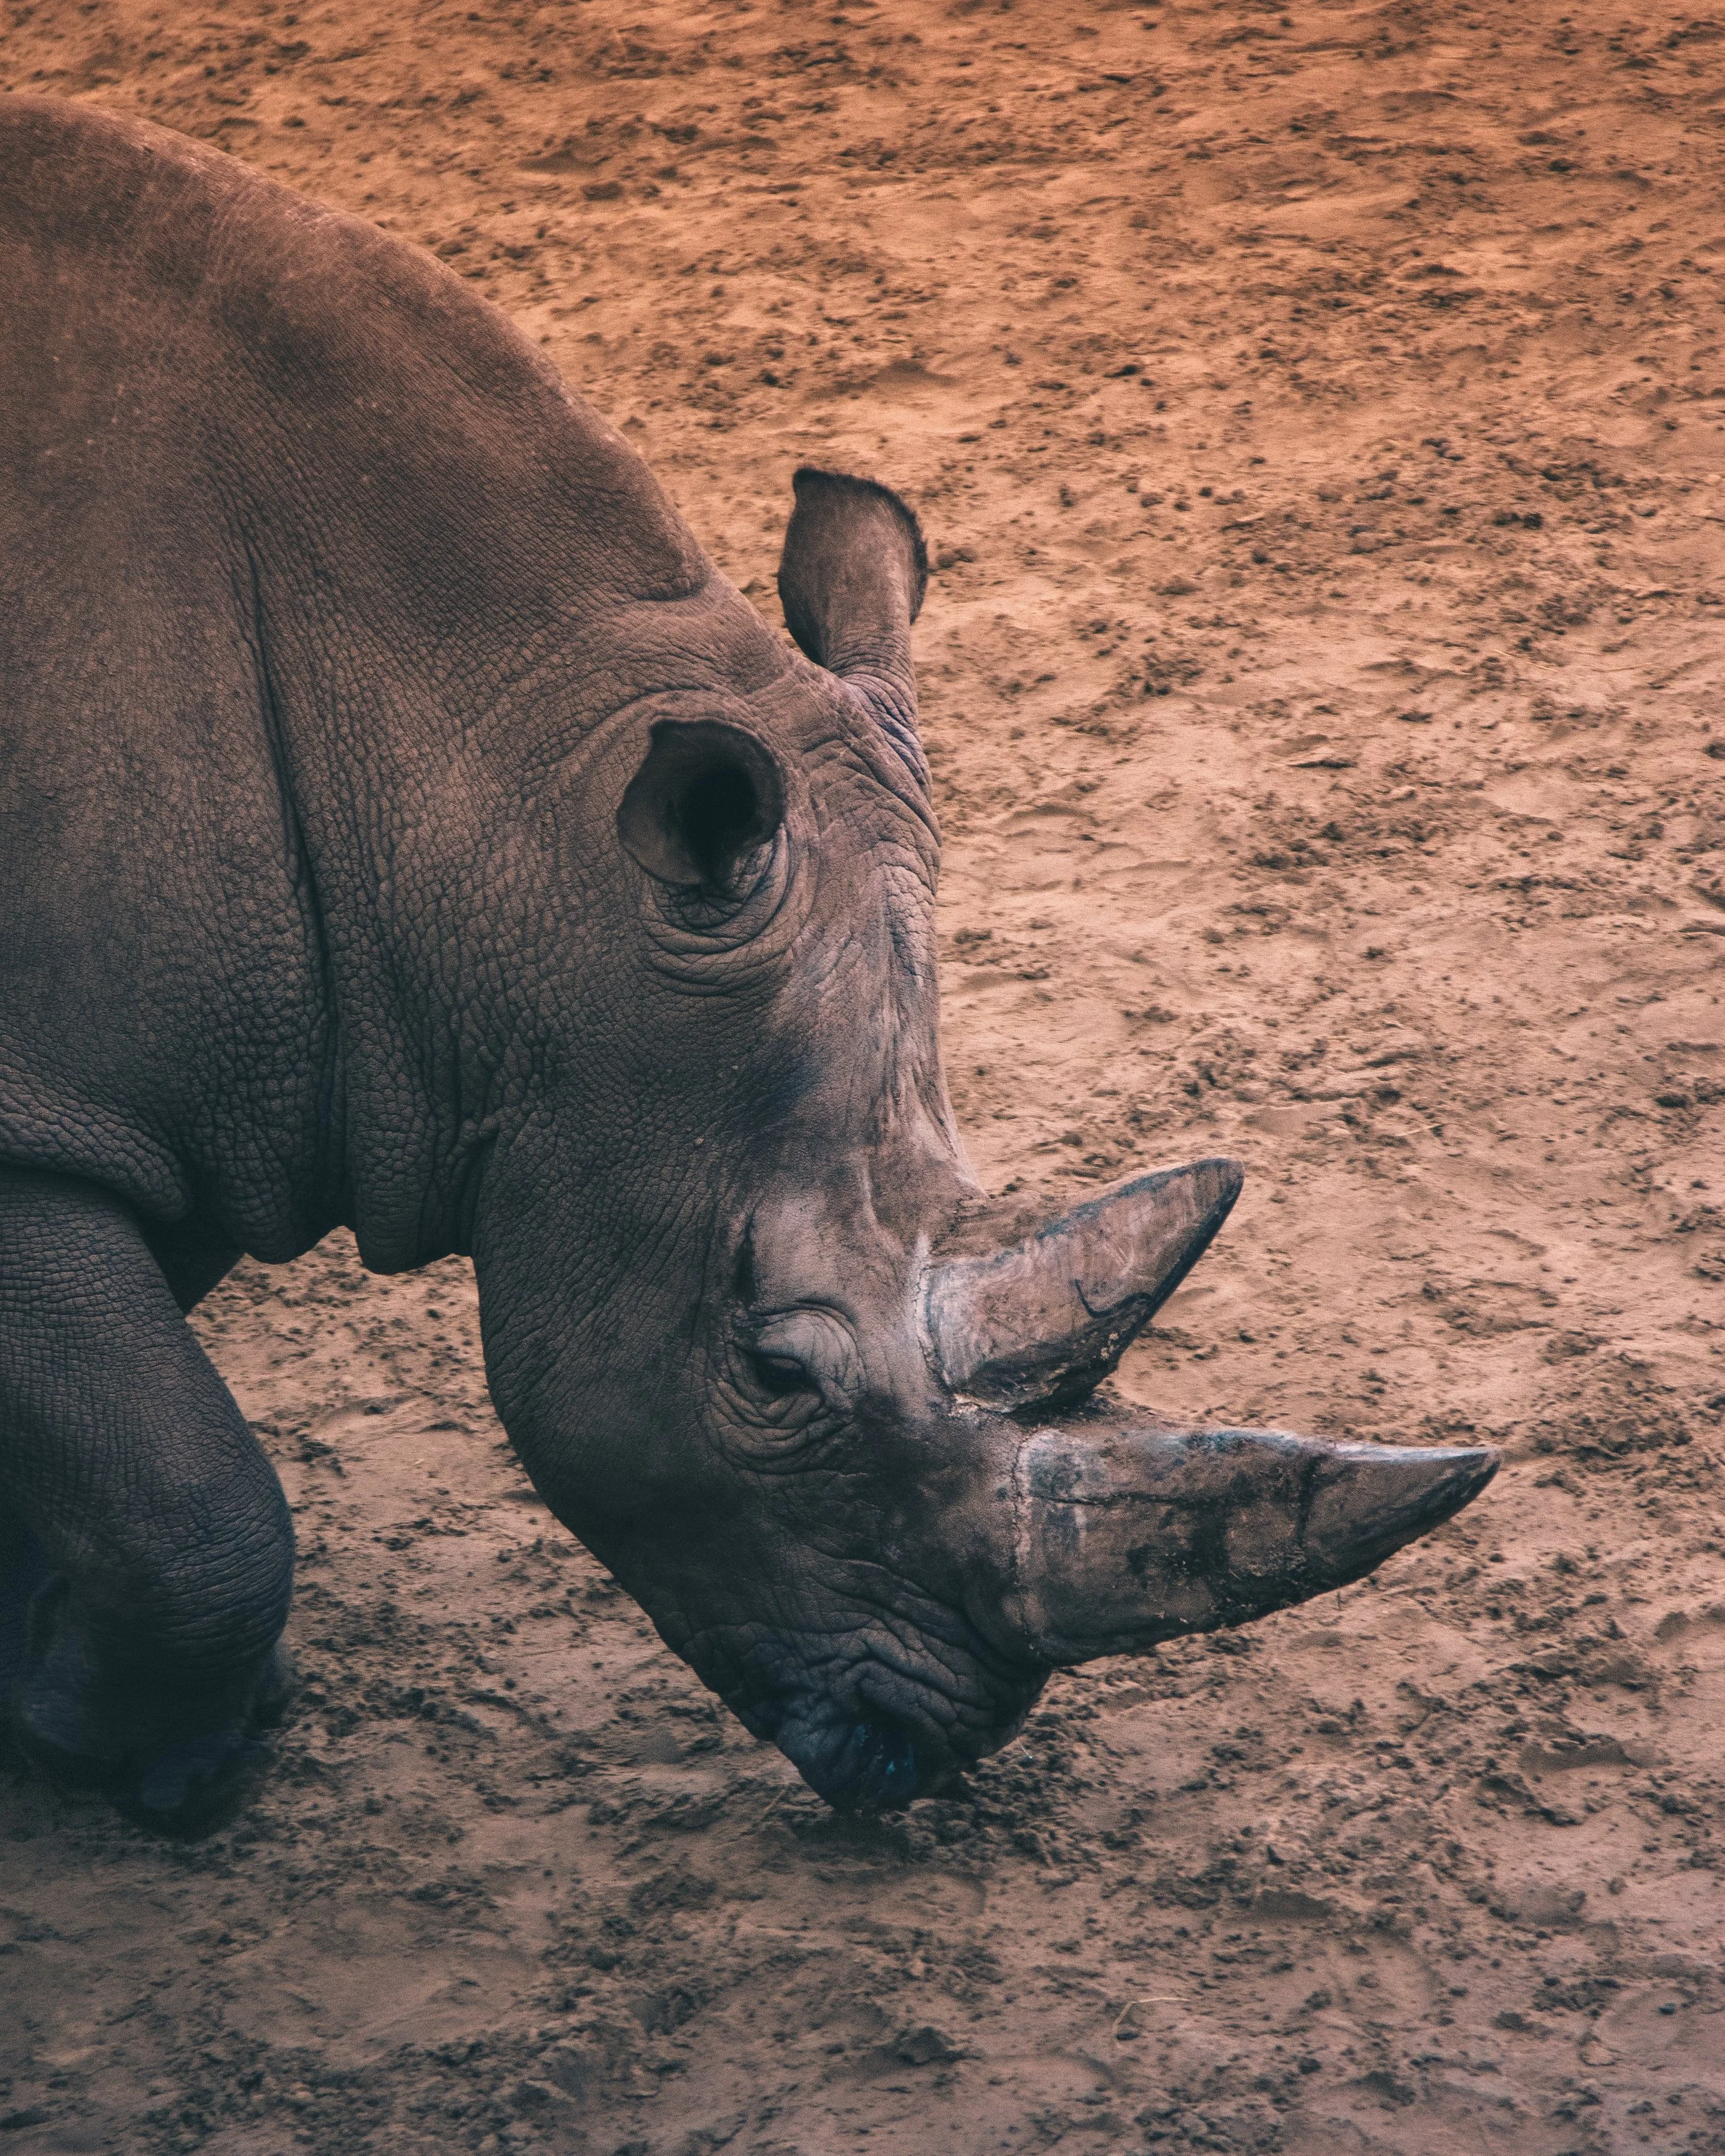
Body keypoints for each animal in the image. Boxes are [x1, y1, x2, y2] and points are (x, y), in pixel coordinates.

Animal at [0, 98, 1495, 1834]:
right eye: (779, 1373)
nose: (935, 1743)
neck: (490, 812)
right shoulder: (62, 1110)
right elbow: (197, 1504)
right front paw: (120, 1754)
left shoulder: (155, 1091)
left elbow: (123, 1443)